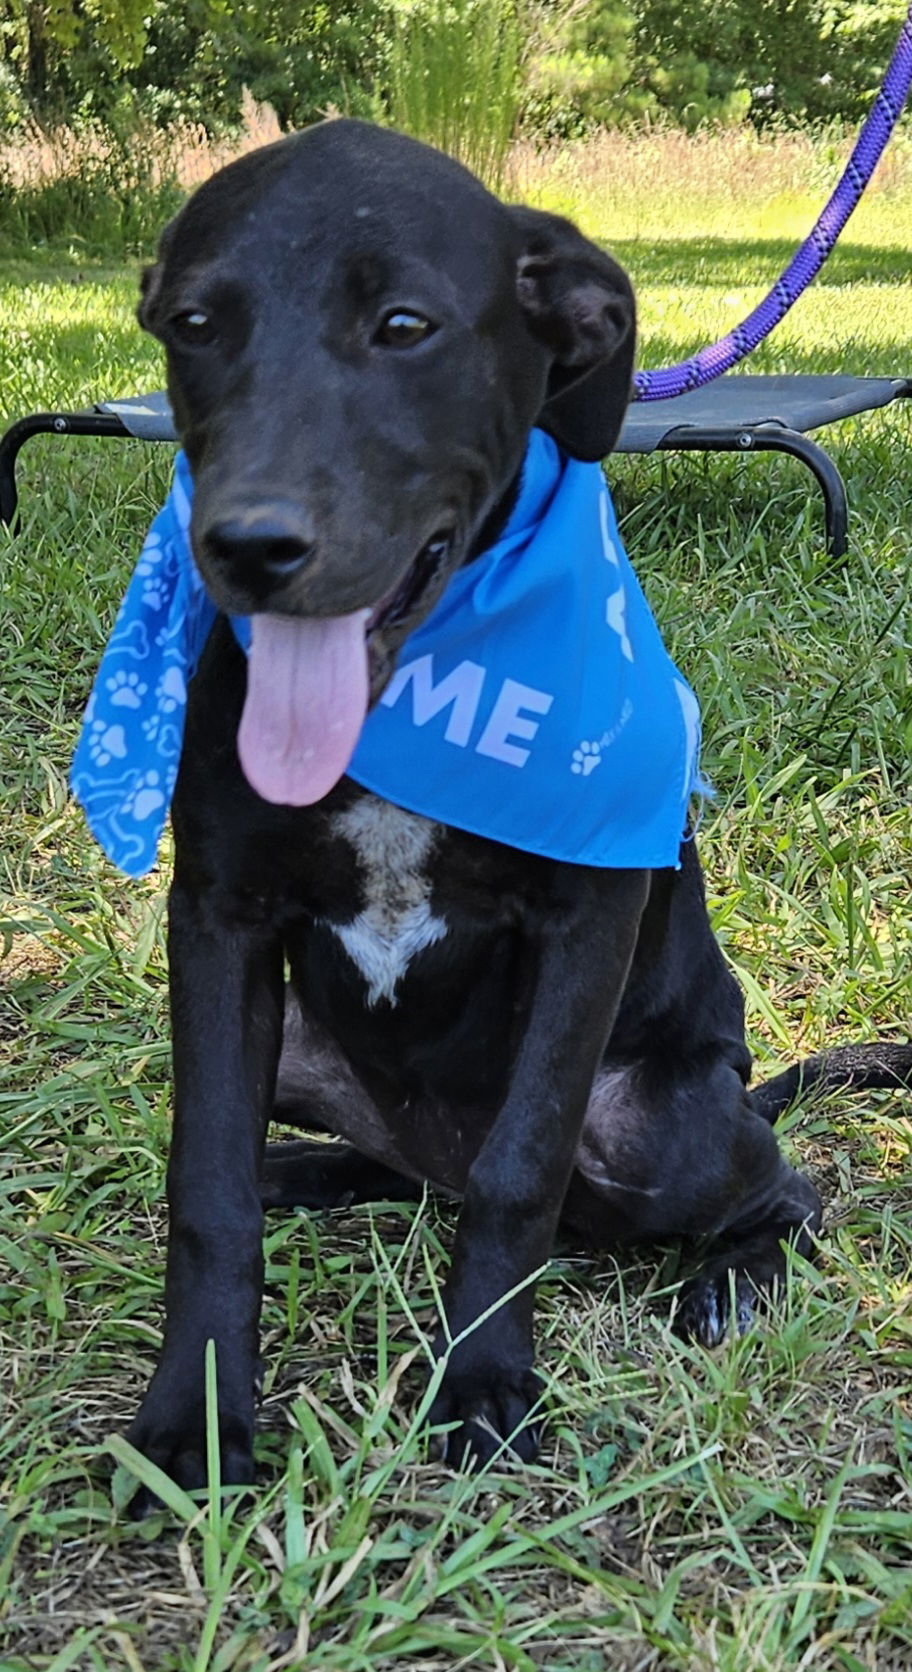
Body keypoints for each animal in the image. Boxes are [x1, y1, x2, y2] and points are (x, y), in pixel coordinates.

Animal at [122, 121, 910, 1491]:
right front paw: (201, 1410)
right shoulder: (218, 920)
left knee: (777, 1193)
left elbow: (517, 1174)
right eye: (193, 323)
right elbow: (204, 1180)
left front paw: (484, 1381)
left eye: (404, 325)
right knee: (376, 1167)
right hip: (310, 1058)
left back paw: (734, 1281)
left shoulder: (584, 918)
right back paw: (304, 1170)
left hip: (664, 1126)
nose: (247, 548)